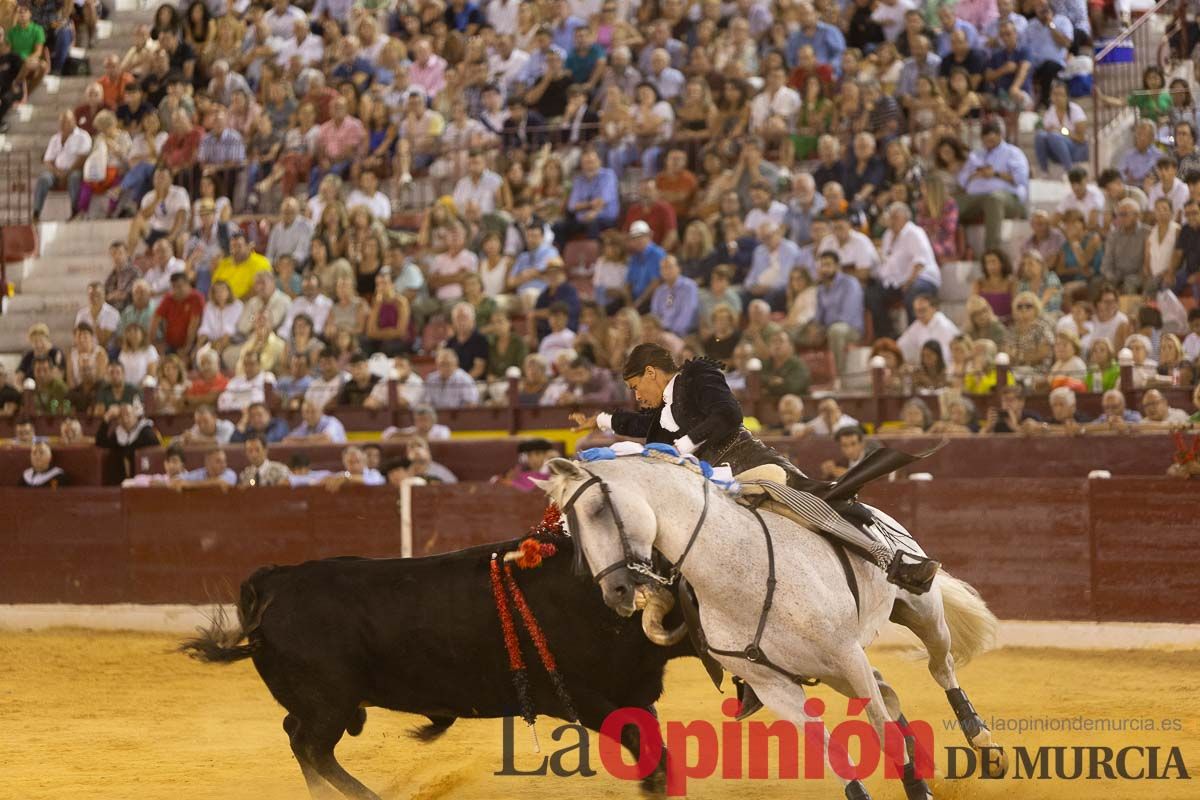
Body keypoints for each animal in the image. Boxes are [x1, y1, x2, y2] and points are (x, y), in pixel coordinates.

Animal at [183, 537, 700, 800]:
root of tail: (277, 581)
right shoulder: (580, 696)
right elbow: (641, 742)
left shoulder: (634, 693)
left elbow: (653, 744)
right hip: (329, 704)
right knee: (310, 745)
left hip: (322, 705)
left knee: (298, 738)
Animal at [542, 455, 1003, 800]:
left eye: (598, 510)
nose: (616, 591)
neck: (741, 573)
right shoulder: (775, 687)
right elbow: (831, 750)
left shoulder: (847, 655)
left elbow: (881, 730)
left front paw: (918, 788)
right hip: (830, 671)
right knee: (889, 692)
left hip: (921, 612)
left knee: (940, 668)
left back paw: (984, 745)